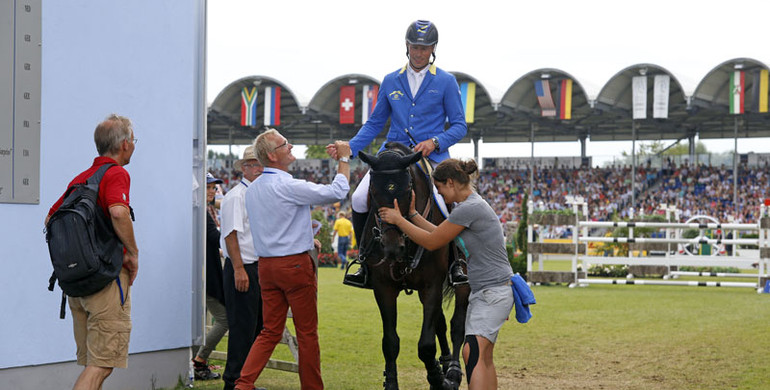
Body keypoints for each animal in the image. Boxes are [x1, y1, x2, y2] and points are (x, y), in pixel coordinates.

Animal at [356, 143, 468, 390]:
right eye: (373, 191)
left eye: (407, 190)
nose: (391, 248)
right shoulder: (384, 288)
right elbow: (390, 342)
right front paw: (391, 382)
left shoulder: (431, 286)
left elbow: (425, 346)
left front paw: (437, 378)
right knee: (441, 323)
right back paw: (446, 362)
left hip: (465, 281)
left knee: (457, 324)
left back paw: (453, 372)